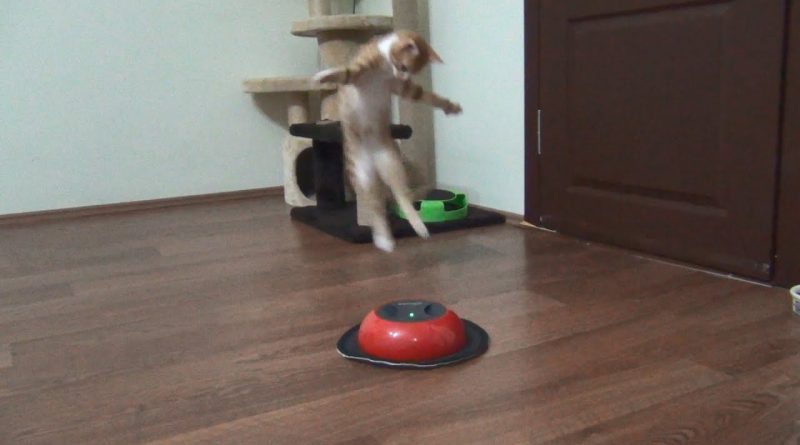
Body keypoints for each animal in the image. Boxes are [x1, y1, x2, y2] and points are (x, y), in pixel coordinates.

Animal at [314, 30, 462, 253]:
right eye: (404, 67)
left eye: (412, 71)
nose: (403, 76)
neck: (386, 66)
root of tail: (374, 159)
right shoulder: (359, 71)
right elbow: (344, 72)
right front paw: (324, 76)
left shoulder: (404, 88)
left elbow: (427, 96)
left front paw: (449, 106)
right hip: (360, 171)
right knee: (374, 204)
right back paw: (384, 238)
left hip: (391, 161)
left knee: (399, 196)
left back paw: (414, 228)